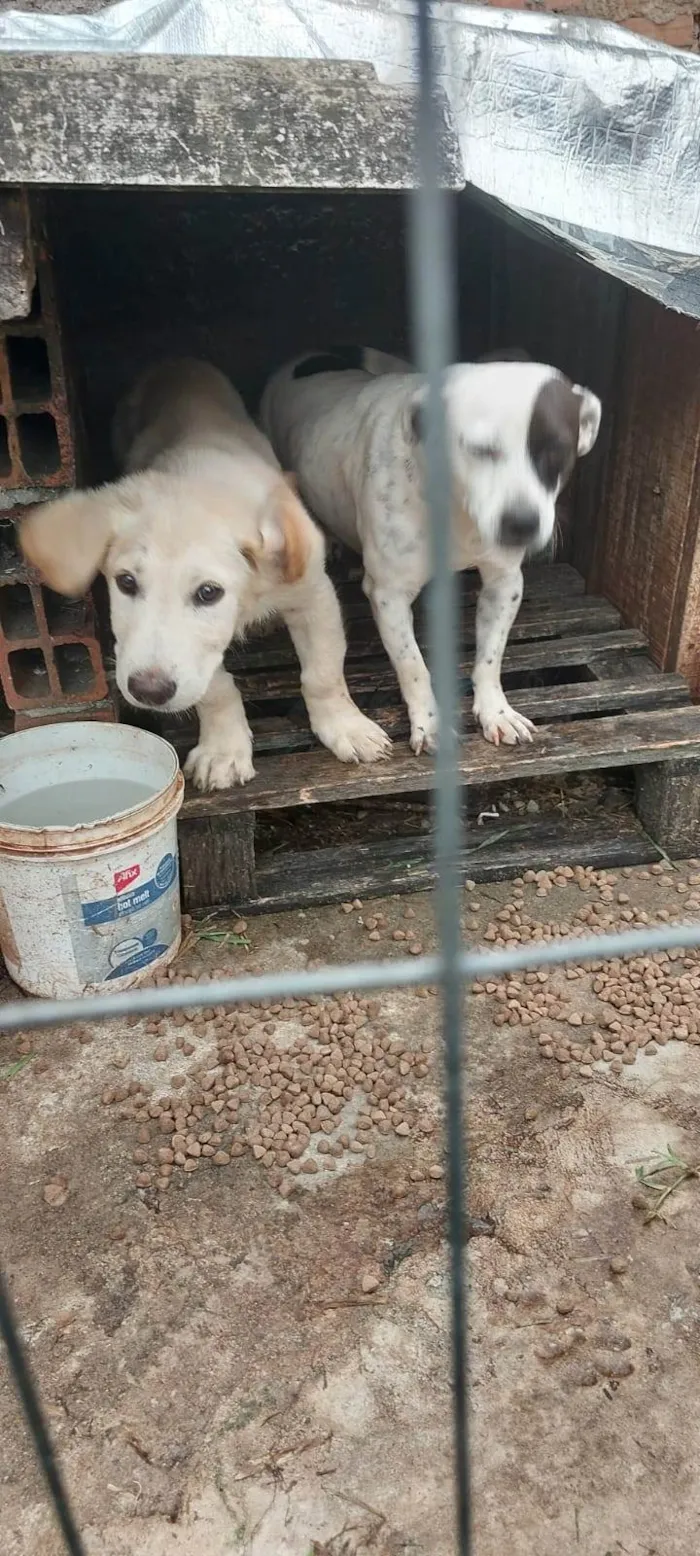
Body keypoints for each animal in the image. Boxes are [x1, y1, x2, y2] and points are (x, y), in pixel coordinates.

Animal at [20, 360, 388, 790]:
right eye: (126, 582)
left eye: (209, 593)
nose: (148, 691)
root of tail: (174, 363)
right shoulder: (198, 663)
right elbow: (216, 689)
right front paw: (223, 752)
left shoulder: (313, 594)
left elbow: (324, 672)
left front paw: (347, 728)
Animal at [262, 345, 600, 753]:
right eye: (481, 450)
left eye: (557, 451)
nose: (521, 523)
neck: (458, 511)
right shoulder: (389, 595)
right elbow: (414, 667)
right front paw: (431, 724)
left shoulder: (504, 582)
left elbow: (491, 656)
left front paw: (496, 711)